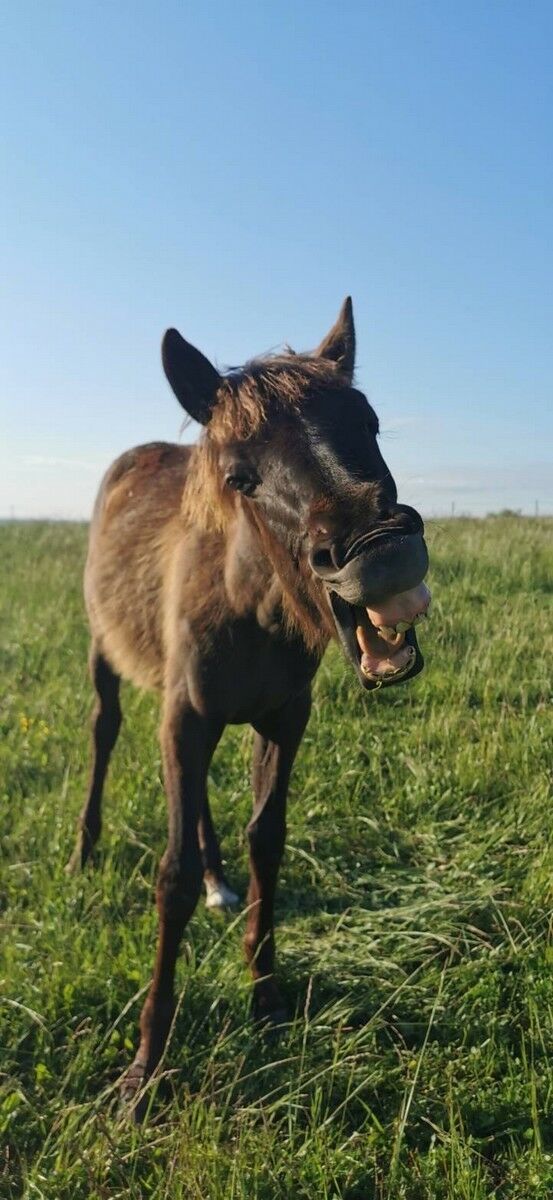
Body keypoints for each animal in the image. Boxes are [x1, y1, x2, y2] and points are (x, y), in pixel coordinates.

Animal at [67, 300, 431, 1113]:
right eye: (240, 475)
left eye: (370, 422)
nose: (380, 553)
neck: (245, 601)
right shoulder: (184, 719)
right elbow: (168, 878)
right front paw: (144, 1066)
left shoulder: (283, 718)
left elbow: (267, 839)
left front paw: (265, 993)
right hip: (108, 656)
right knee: (104, 733)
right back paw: (83, 852)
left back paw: (218, 880)